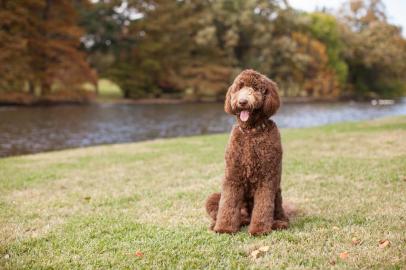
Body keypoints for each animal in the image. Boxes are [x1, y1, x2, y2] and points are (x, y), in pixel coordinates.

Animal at [206, 69, 292, 236]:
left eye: (256, 88)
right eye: (239, 88)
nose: (242, 102)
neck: (251, 131)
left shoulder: (267, 178)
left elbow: (263, 206)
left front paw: (259, 230)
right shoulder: (233, 175)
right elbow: (228, 203)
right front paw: (224, 228)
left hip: (277, 193)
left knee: (278, 212)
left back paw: (278, 223)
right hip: (213, 197)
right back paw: (221, 223)